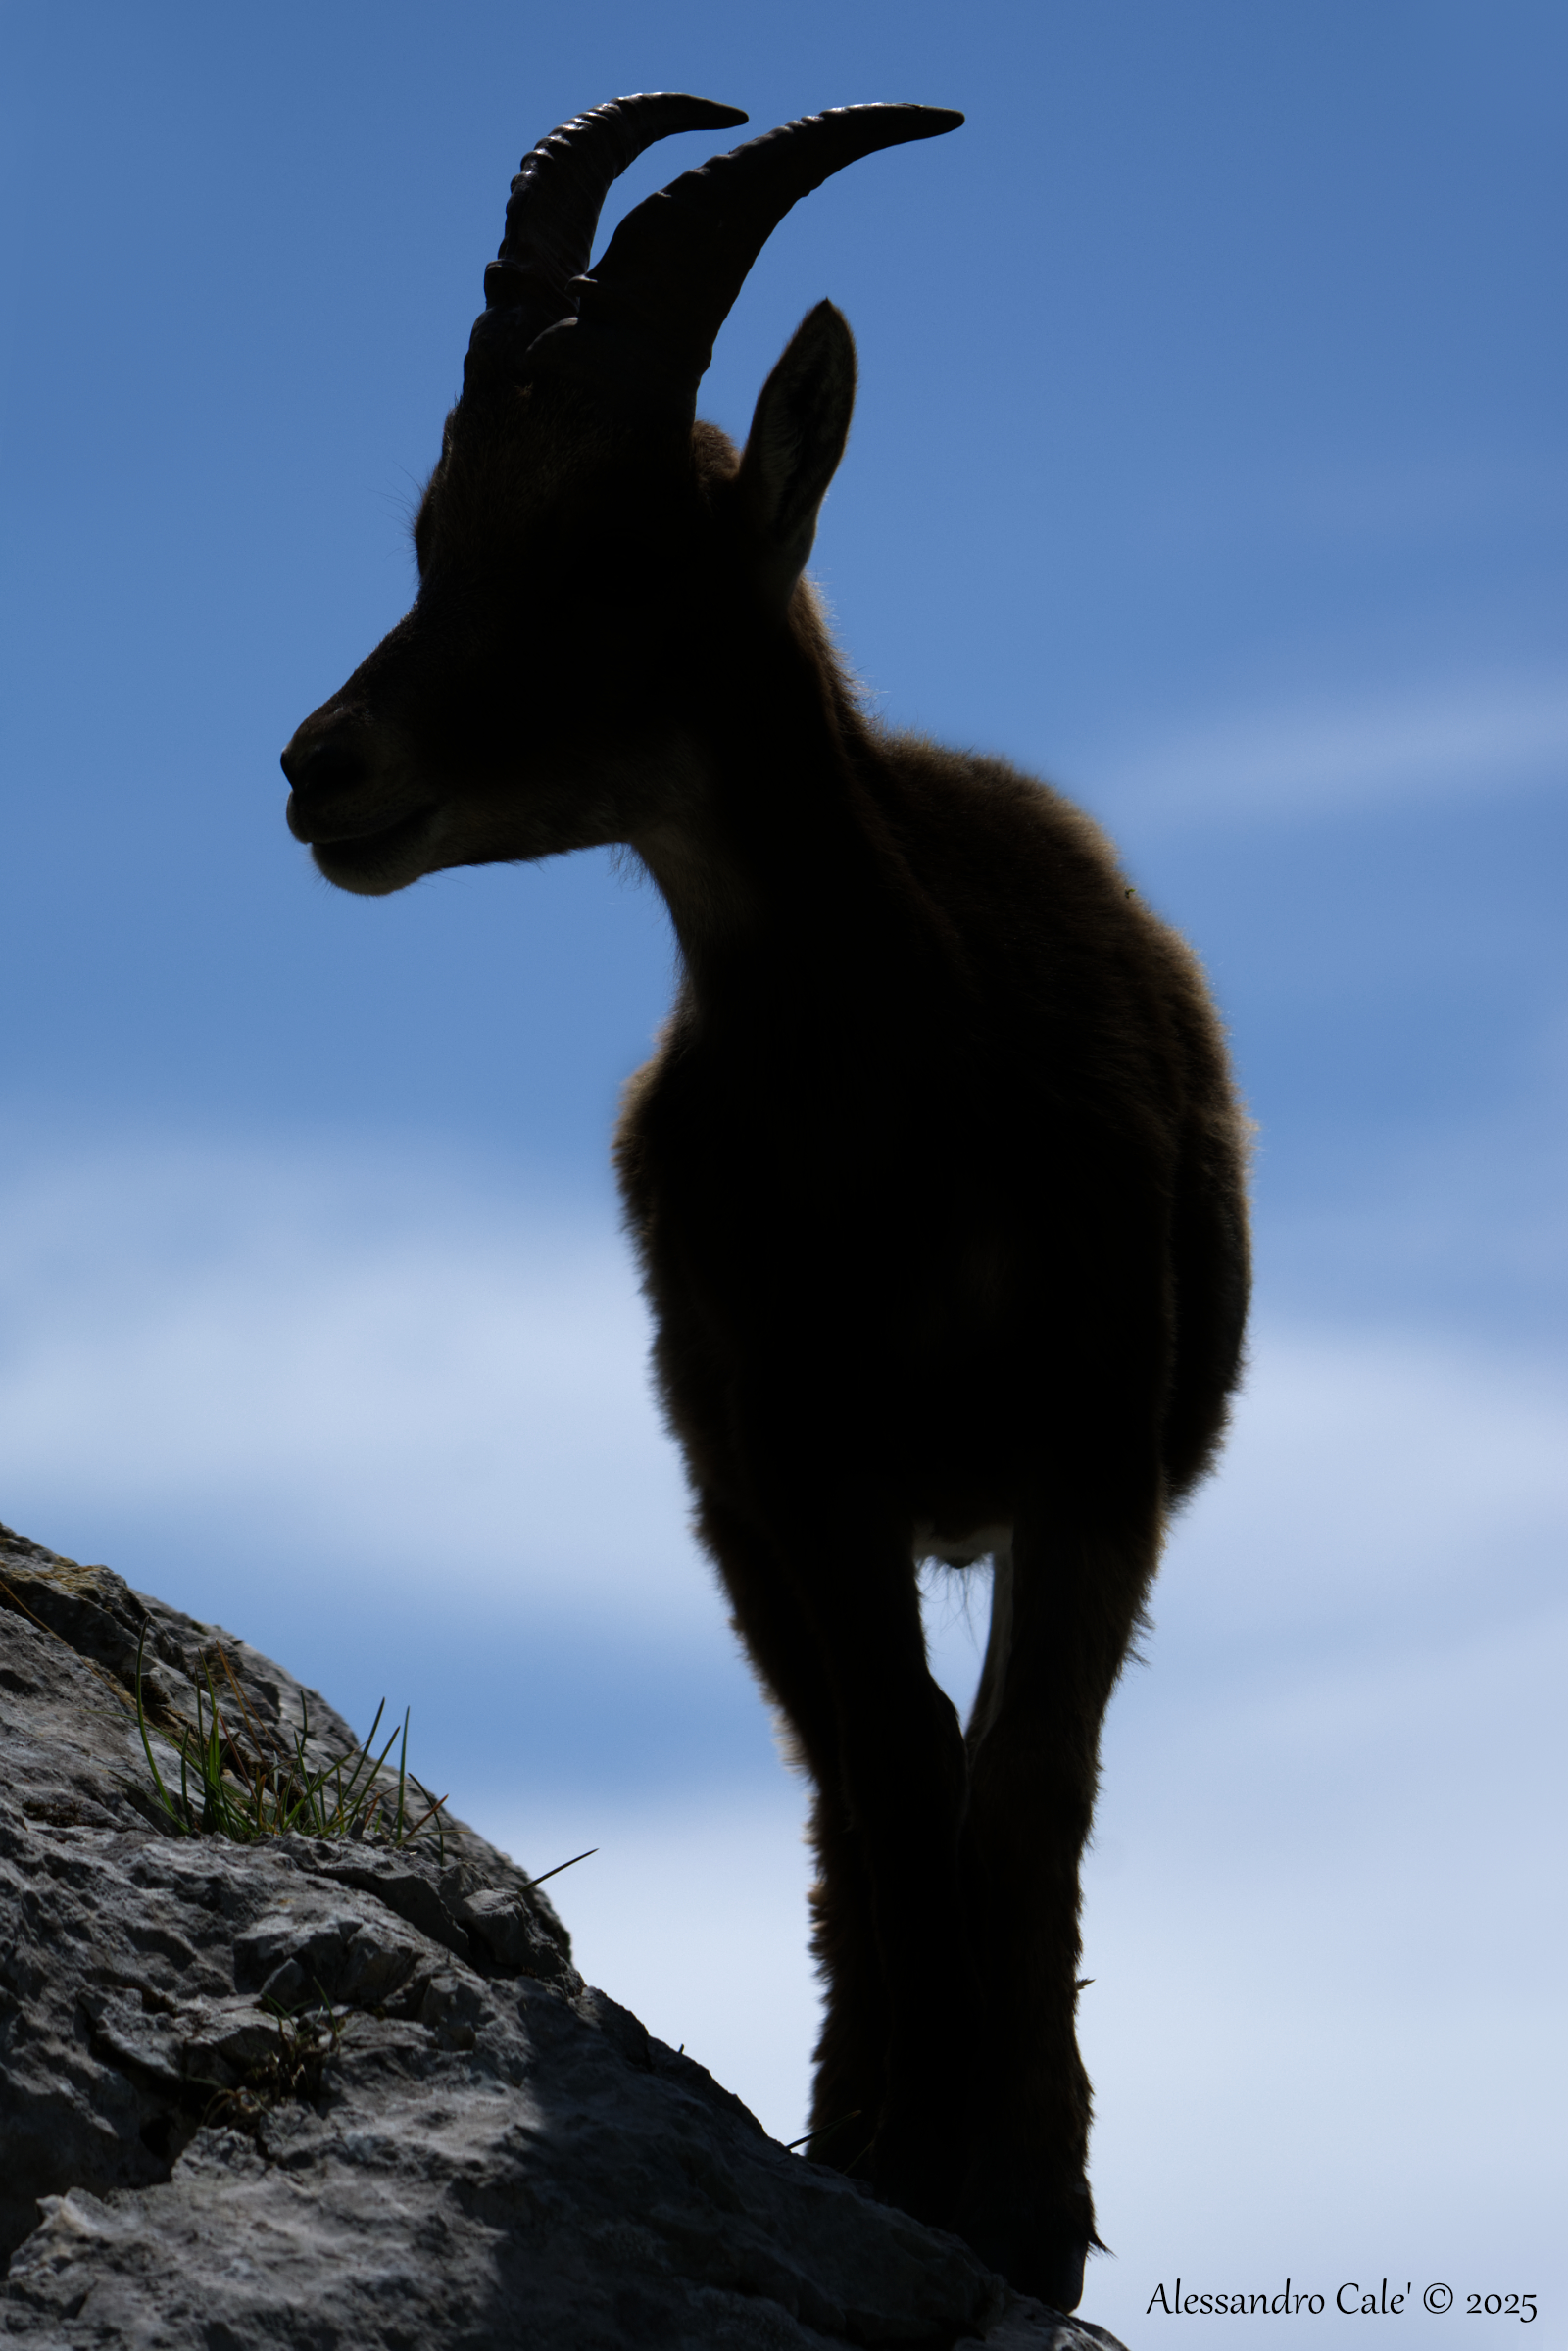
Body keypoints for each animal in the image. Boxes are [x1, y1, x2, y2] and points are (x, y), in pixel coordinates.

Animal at [280, 95, 1251, 2313]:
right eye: (437, 535)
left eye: (615, 548)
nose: (321, 769)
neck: (908, 1099)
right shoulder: (799, 1443)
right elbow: (897, 1762)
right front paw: (925, 2165)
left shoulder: (1093, 1447)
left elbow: (1025, 1788)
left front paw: (1029, 2198)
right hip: (730, 1470)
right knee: (837, 1781)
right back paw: (853, 2099)